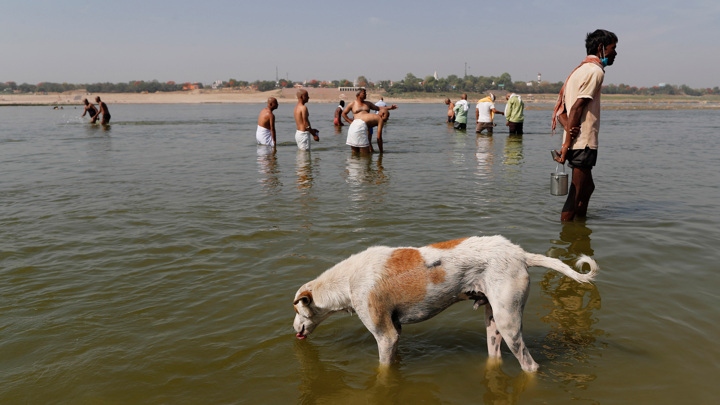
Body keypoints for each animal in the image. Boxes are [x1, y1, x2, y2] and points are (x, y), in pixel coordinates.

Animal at [290, 235, 600, 370]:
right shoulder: (396, 332)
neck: (348, 280)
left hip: (509, 325)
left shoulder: (385, 335)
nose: (293, 329)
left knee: (530, 366)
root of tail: (520, 254)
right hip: (493, 324)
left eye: (296, 309)